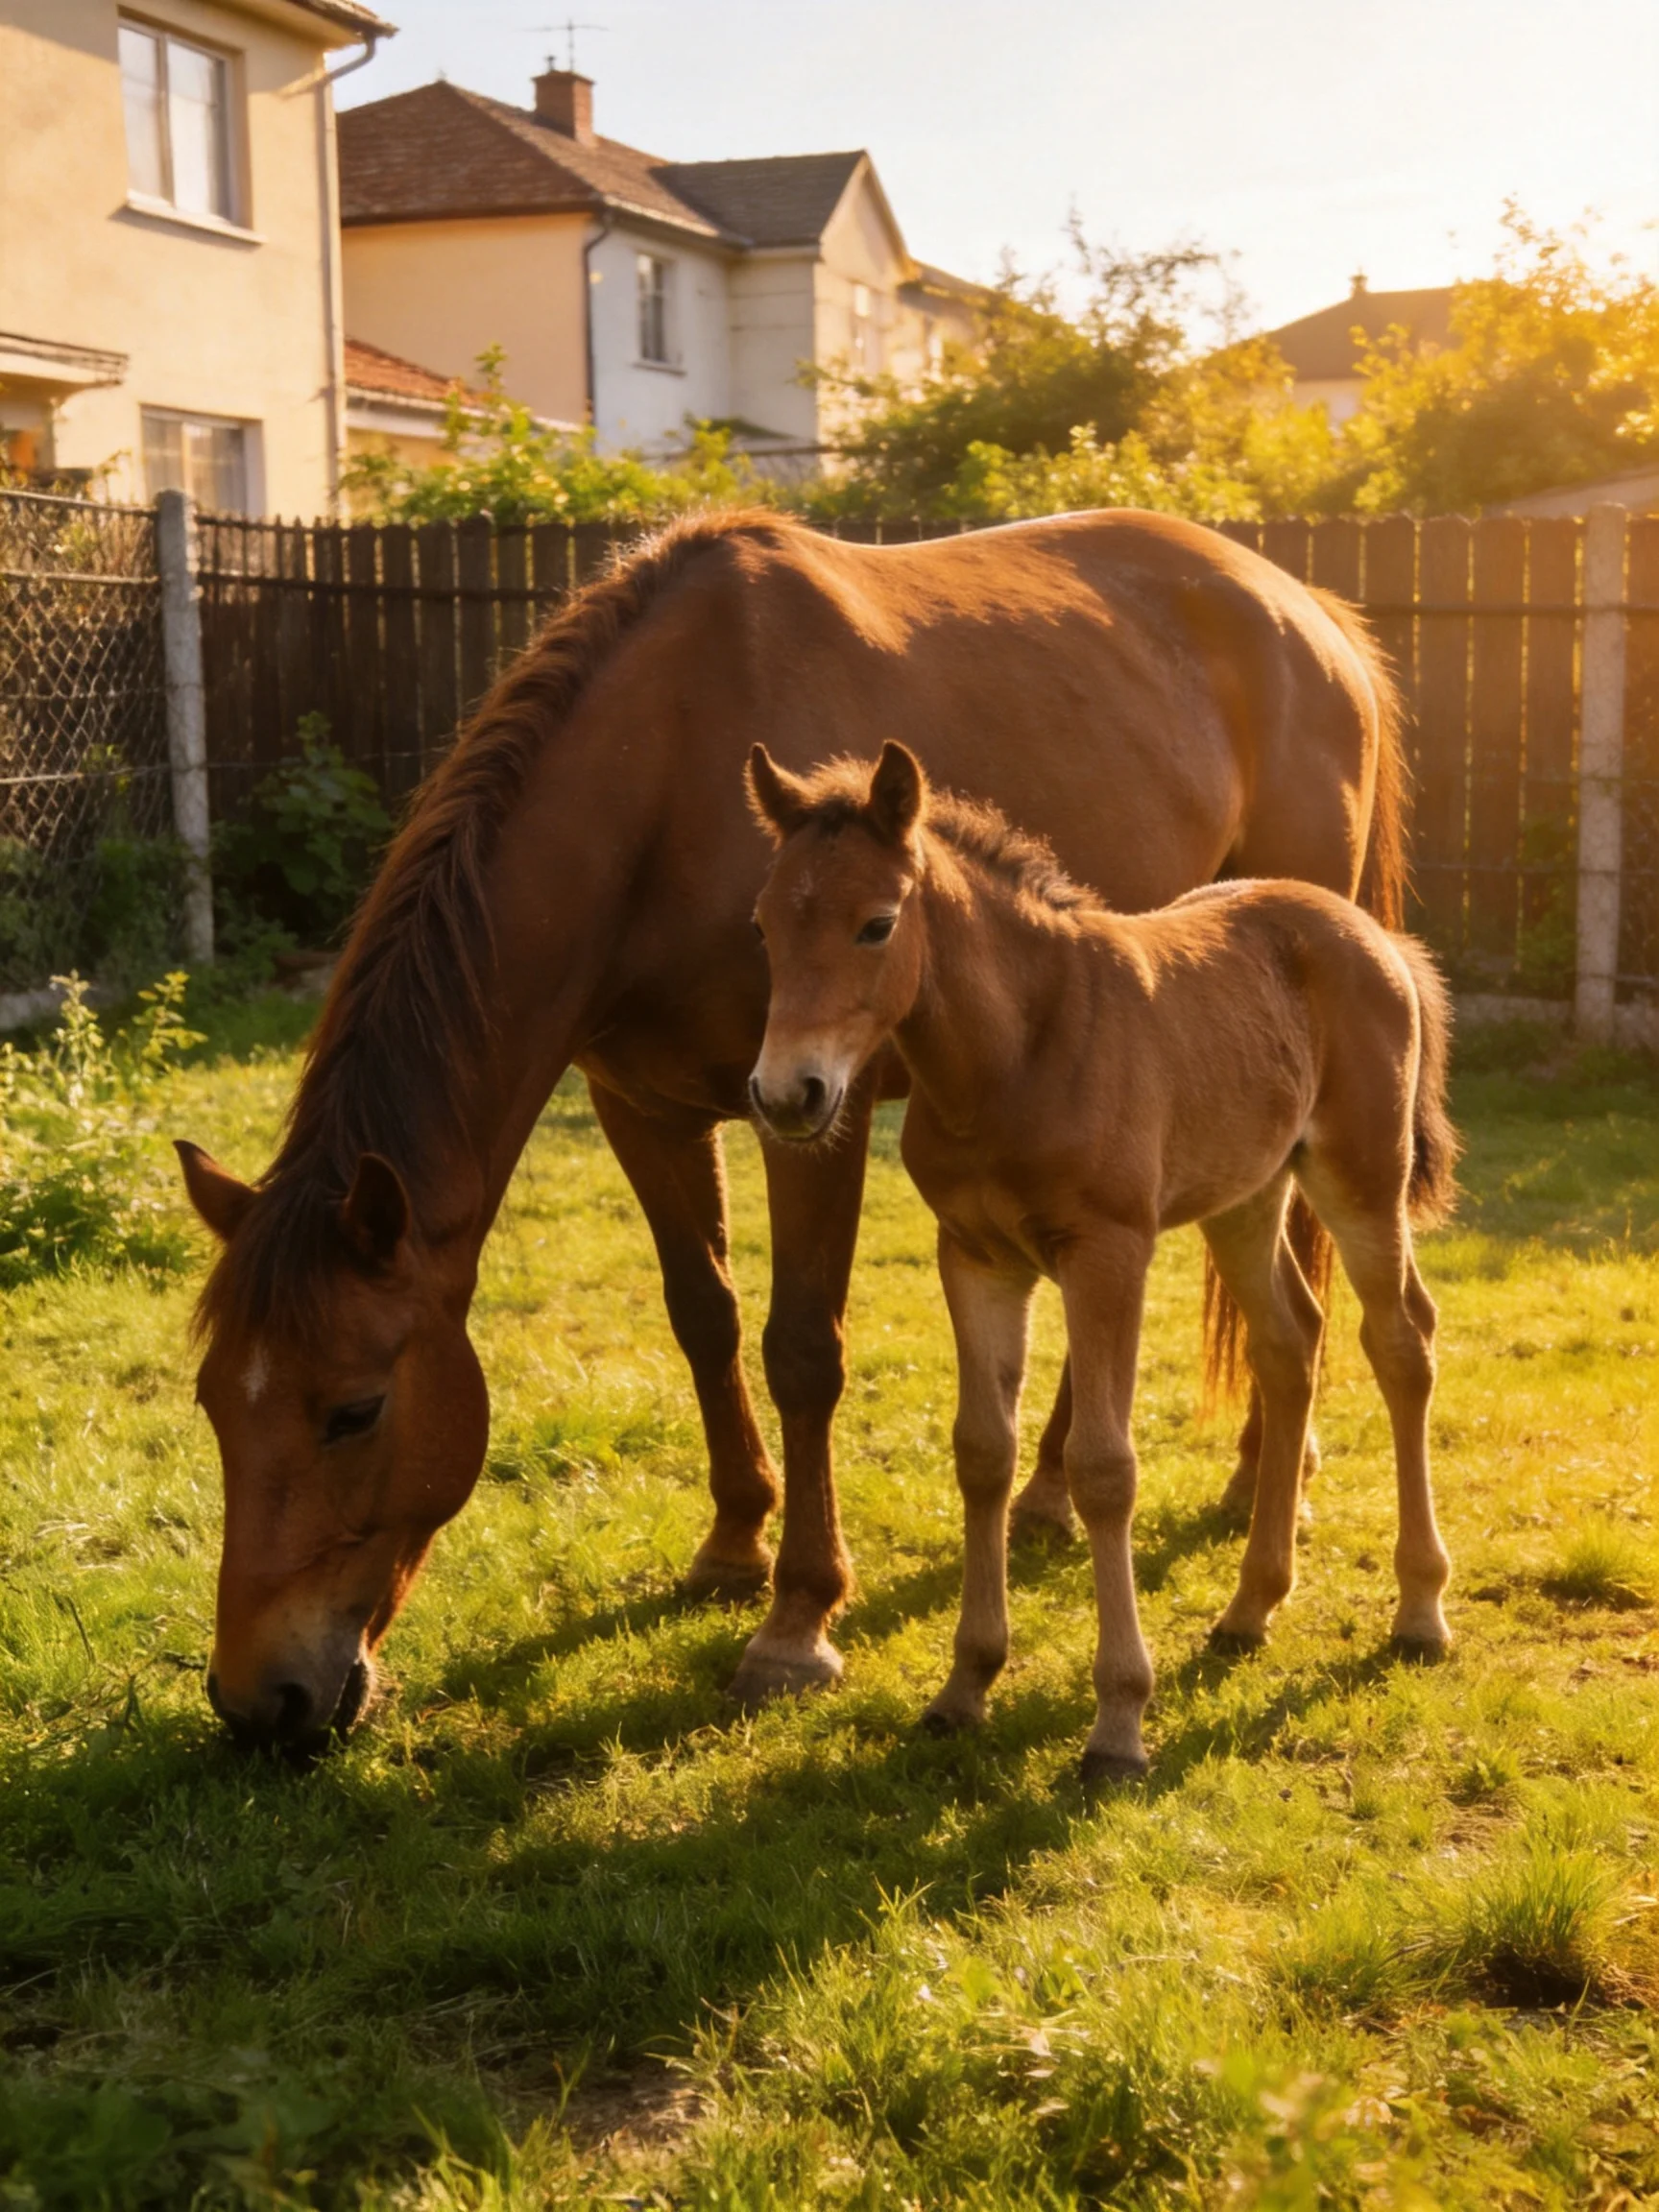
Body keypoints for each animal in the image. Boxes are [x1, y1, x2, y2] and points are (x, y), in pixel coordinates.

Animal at [746, 740, 1457, 1779]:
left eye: (876, 924)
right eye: (763, 926)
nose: (786, 1094)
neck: (1017, 1053)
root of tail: (1372, 935)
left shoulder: (1108, 1253)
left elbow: (1103, 1469)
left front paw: (1119, 1724)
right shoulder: (974, 1258)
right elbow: (982, 1452)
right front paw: (964, 1686)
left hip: (1361, 1176)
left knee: (1401, 1342)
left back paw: (1419, 1610)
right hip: (1245, 1196)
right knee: (1291, 1345)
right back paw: (1250, 1607)